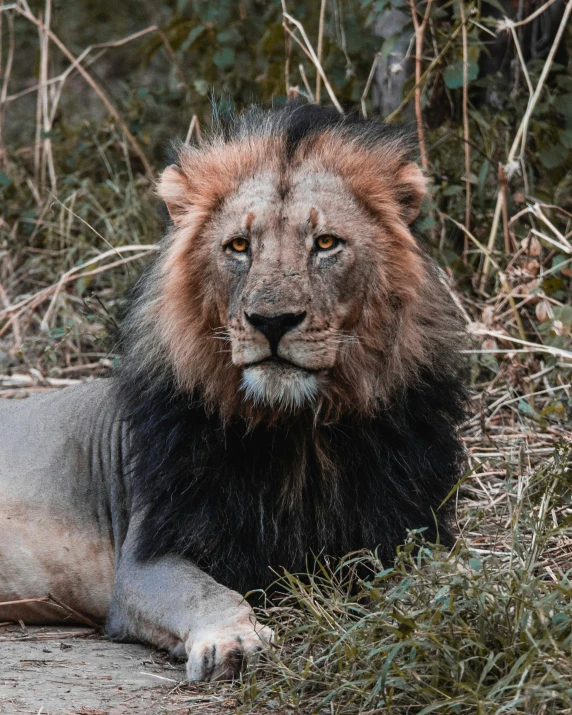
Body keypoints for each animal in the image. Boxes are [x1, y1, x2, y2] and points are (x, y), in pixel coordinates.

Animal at [0, 105, 464, 684]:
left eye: (326, 243)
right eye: (239, 247)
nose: (272, 321)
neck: (298, 433)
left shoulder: (405, 526)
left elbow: (438, 570)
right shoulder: (147, 557)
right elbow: (207, 593)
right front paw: (235, 641)